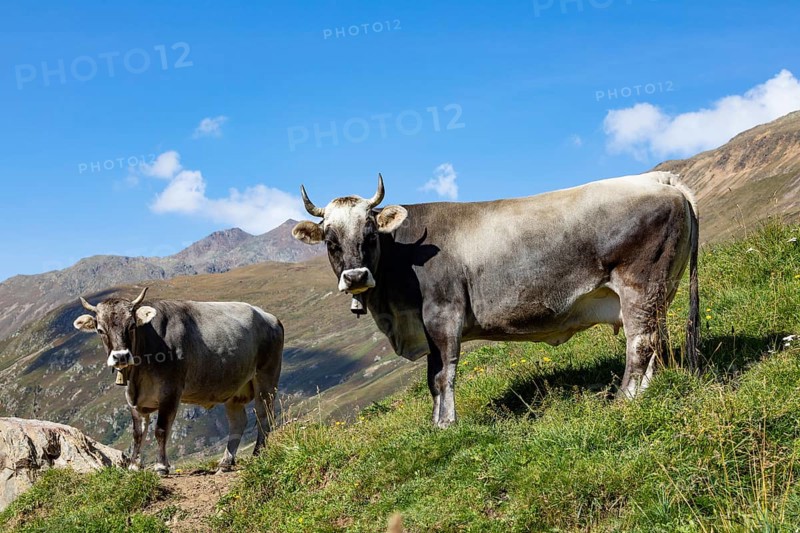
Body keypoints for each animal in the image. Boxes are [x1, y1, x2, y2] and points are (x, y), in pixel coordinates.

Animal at [73, 288, 283, 475]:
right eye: (100, 329)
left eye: (131, 325)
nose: (121, 356)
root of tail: (270, 318)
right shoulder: (133, 398)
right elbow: (138, 433)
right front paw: (134, 466)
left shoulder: (170, 391)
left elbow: (161, 429)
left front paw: (161, 466)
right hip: (234, 387)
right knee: (238, 422)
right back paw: (225, 463)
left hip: (267, 377)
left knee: (264, 415)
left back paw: (258, 454)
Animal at [292, 172, 699, 428]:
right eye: (330, 240)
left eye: (370, 234)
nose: (356, 277)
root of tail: (656, 178)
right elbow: (431, 377)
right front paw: (435, 423)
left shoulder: (443, 314)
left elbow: (442, 375)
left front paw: (446, 425)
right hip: (658, 292)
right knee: (654, 340)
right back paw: (645, 394)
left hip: (639, 284)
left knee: (640, 344)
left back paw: (623, 400)